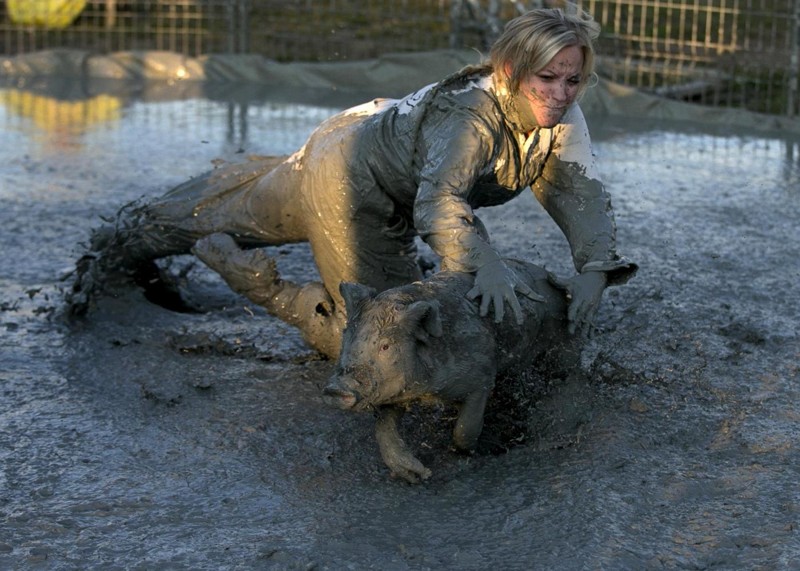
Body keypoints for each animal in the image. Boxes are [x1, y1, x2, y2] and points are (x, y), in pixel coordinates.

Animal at [322, 262, 572, 484]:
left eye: (385, 346)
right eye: (346, 335)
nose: (334, 388)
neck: (426, 391)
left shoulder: (482, 376)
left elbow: (464, 428)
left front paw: (469, 451)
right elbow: (384, 428)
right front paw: (417, 476)